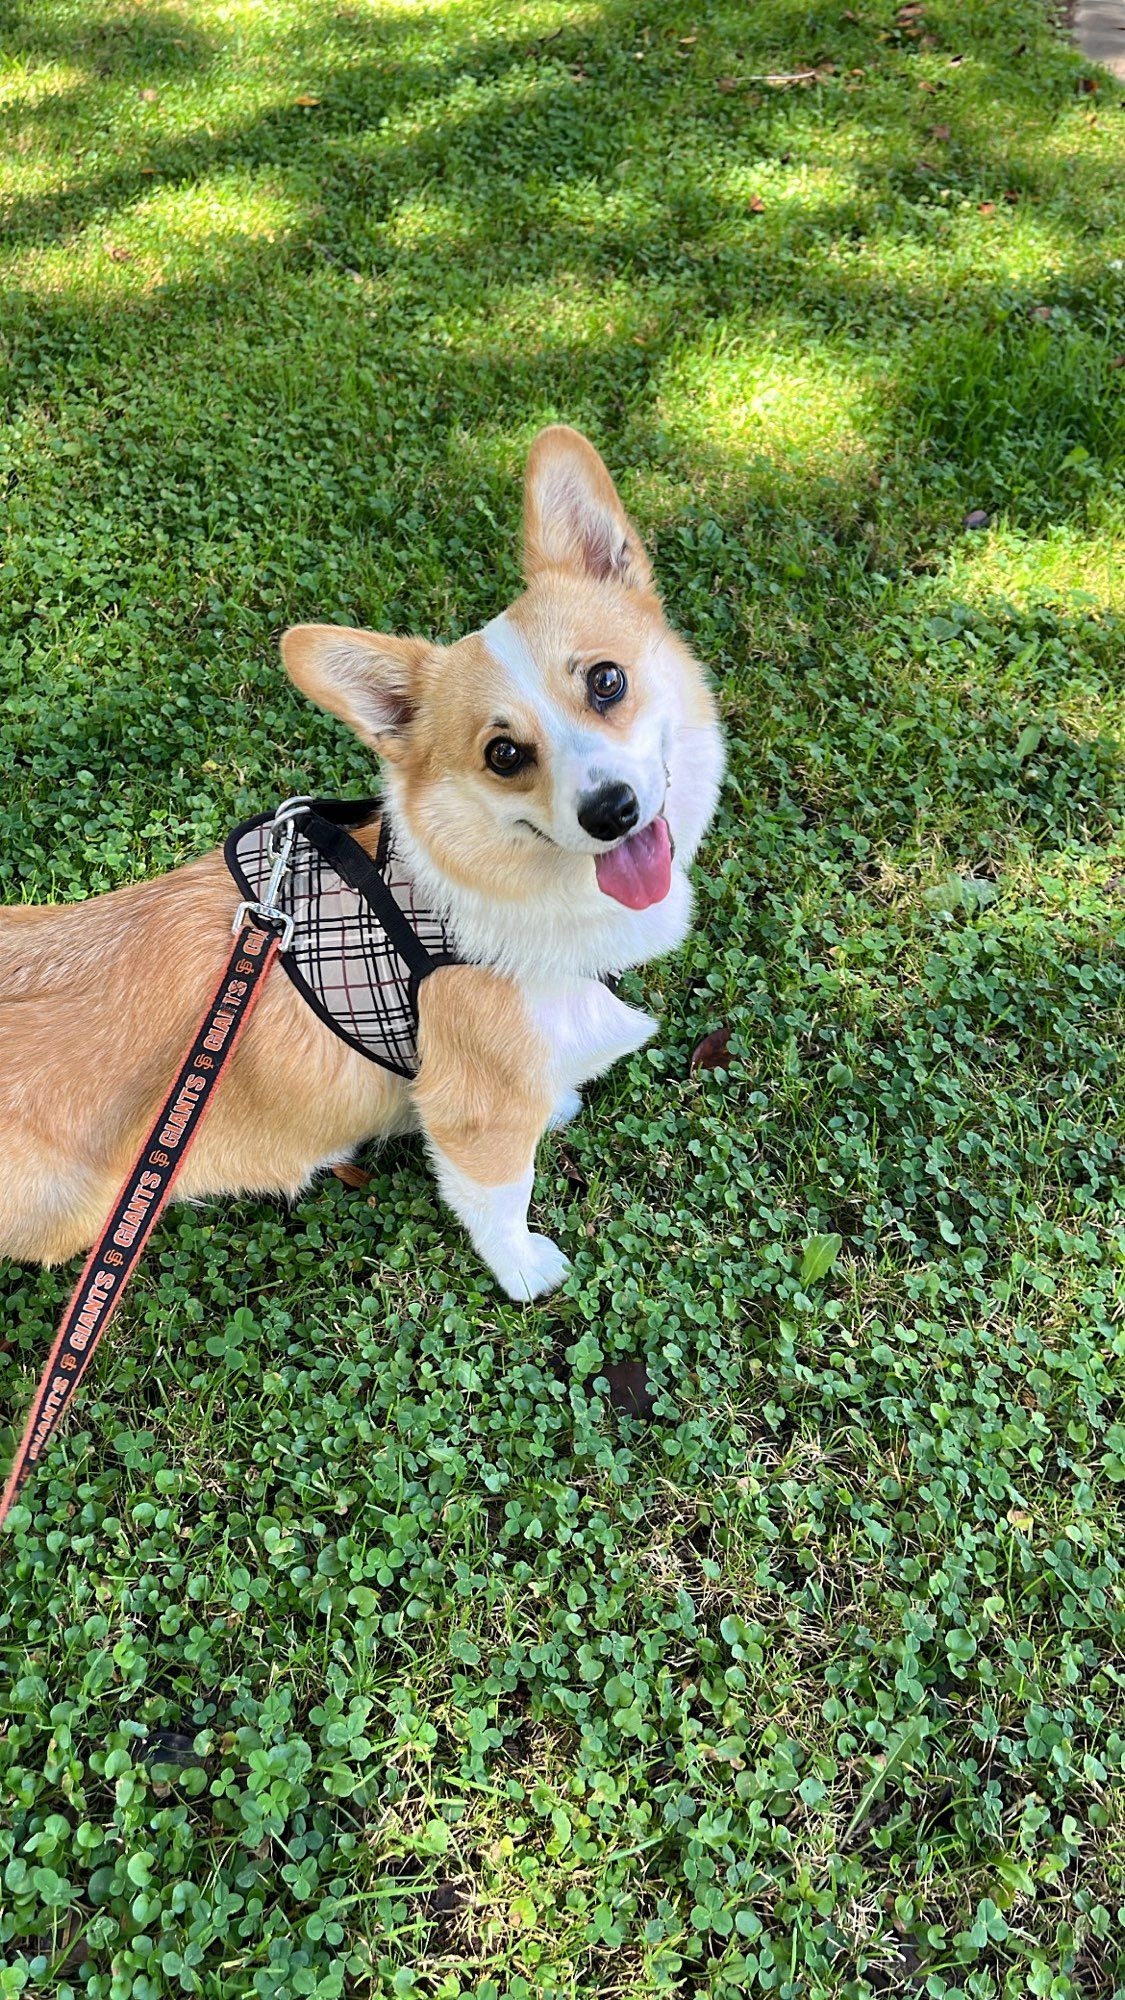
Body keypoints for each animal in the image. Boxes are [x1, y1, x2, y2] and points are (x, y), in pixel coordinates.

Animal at [0, 426, 720, 1296]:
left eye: (607, 680)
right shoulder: (475, 1113)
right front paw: (527, 1271)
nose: (610, 811)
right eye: (503, 754)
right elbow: (499, 1198)